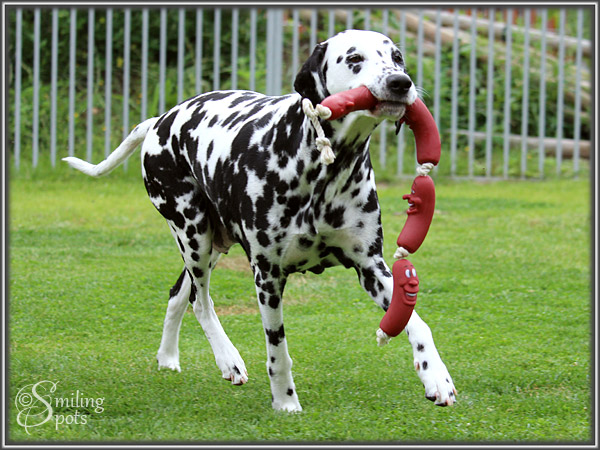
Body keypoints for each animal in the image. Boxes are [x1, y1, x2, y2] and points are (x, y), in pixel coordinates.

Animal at [64, 29, 456, 411]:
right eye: (355, 58)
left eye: (397, 57)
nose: (400, 82)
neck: (322, 170)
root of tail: (160, 121)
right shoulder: (268, 277)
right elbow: (277, 349)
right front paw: (285, 401)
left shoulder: (371, 267)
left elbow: (417, 322)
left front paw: (435, 375)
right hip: (193, 235)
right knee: (200, 302)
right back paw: (227, 358)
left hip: (211, 245)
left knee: (179, 294)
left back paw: (168, 357)